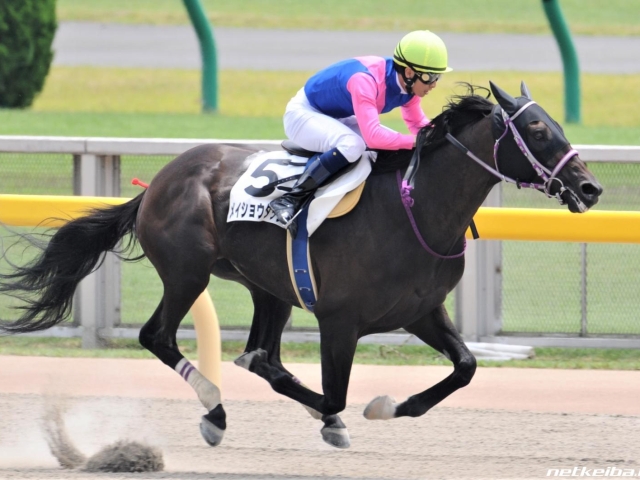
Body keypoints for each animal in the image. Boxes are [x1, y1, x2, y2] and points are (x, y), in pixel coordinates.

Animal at [0, 83, 604, 450]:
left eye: (556, 123)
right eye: (539, 131)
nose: (590, 188)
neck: (418, 210)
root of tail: (159, 181)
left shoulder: (422, 311)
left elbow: (466, 367)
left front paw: (390, 406)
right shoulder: (340, 321)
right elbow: (332, 393)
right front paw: (336, 416)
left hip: (266, 286)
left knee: (253, 346)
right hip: (187, 273)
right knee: (158, 336)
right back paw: (214, 408)